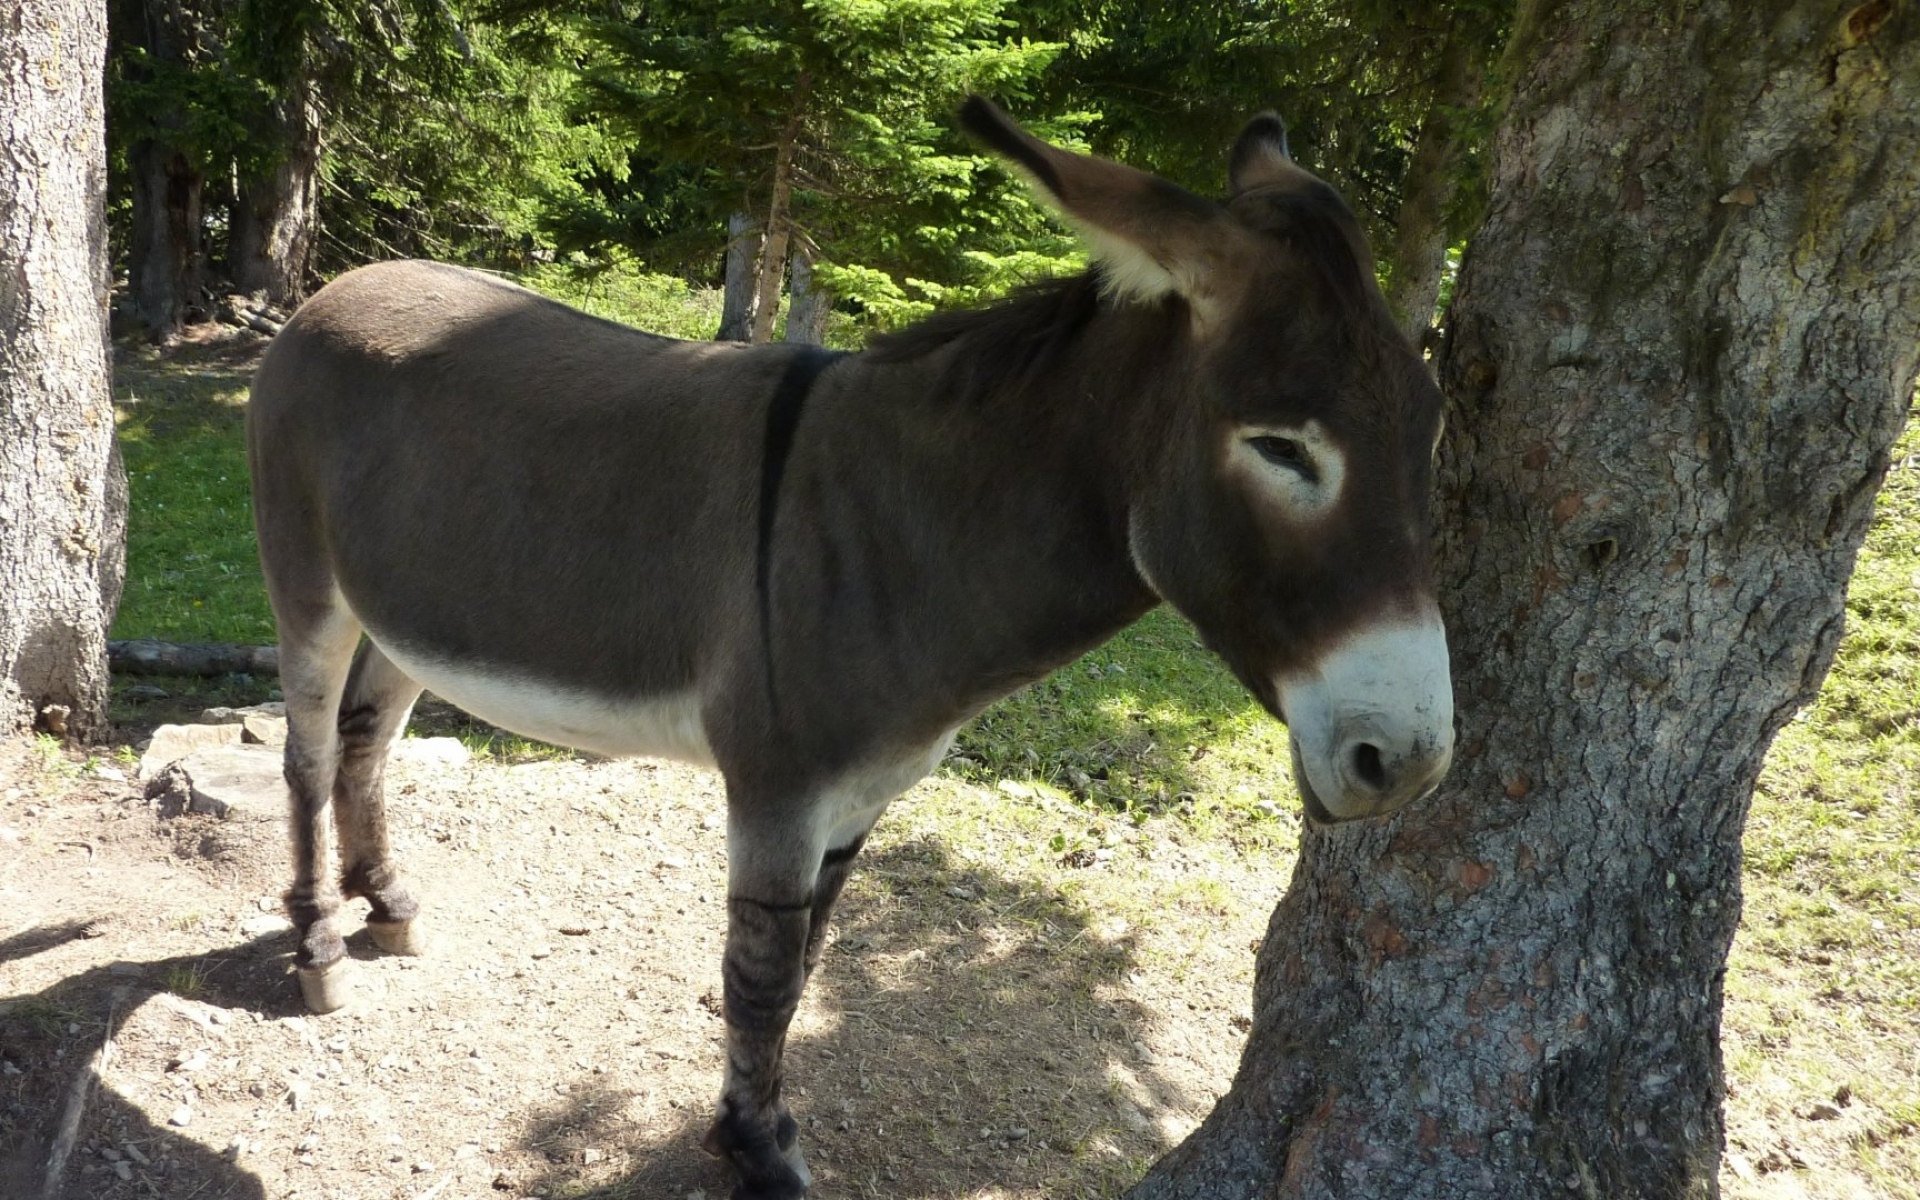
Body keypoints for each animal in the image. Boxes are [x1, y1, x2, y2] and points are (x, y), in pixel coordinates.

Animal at [245, 97, 1453, 1199]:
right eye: (1282, 447)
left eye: (1433, 426)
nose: (1411, 764)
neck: (906, 530)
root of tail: (339, 287)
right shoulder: (778, 788)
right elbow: (763, 979)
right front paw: (758, 1154)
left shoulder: (865, 792)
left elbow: (811, 961)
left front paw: (754, 1126)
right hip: (308, 585)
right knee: (308, 753)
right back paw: (316, 949)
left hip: (408, 612)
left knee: (367, 739)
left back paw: (385, 902)